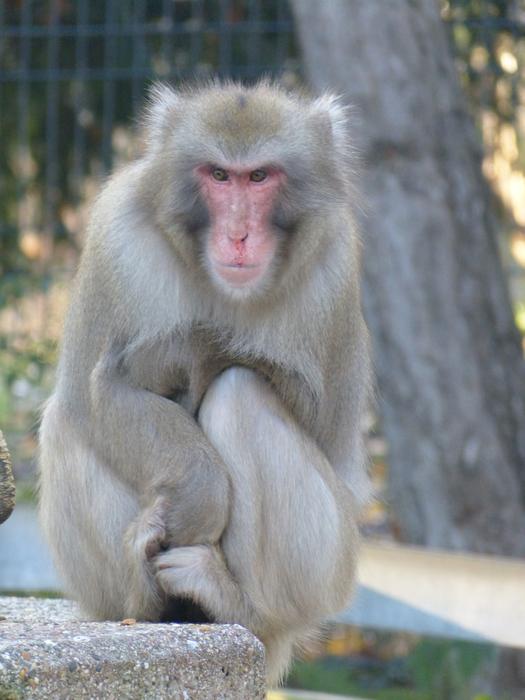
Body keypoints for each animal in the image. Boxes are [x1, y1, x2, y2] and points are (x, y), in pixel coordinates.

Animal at [39, 81, 372, 684]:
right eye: (219, 175)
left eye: (259, 177)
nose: (239, 235)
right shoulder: (115, 239)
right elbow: (94, 394)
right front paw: (198, 494)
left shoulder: (334, 260)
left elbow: (321, 420)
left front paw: (199, 350)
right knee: (64, 420)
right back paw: (148, 605)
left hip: (328, 569)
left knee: (241, 393)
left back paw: (235, 603)